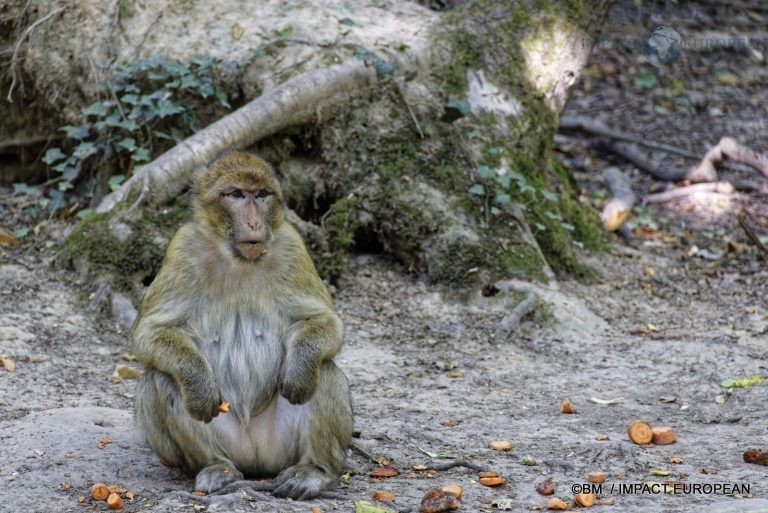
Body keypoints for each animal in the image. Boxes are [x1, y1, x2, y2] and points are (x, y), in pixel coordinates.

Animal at [130, 150, 354, 498]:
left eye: (261, 194)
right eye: (236, 194)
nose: (253, 223)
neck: (238, 259)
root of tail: (256, 461)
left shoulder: (293, 246)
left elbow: (324, 321)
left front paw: (299, 368)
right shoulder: (183, 247)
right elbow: (150, 333)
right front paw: (198, 384)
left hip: (281, 448)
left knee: (324, 370)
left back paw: (313, 471)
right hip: (228, 444)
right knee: (163, 378)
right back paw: (215, 467)